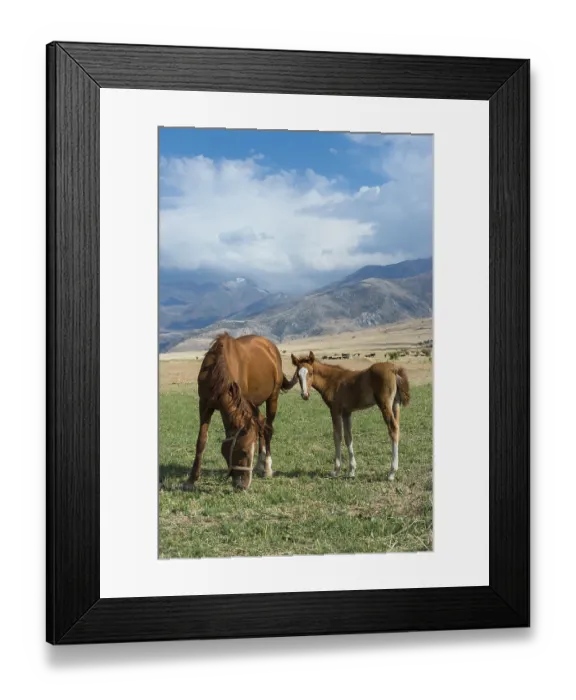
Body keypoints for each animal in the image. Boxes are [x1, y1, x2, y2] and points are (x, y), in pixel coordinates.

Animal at [182, 333, 297, 491]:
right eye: (243, 451)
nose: (243, 485)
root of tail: (270, 346)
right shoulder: (205, 405)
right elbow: (201, 440)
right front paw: (191, 479)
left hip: (272, 398)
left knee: (268, 428)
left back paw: (267, 467)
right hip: (255, 404)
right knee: (261, 426)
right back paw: (260, 464)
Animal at [291, 352, 411, 481]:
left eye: (311, 372)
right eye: (298, 375)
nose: (305, 395)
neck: (331, 380)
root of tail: (394, 369)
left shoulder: (335, 410)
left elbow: (337, 437)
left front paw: (335, 470)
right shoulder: (346, 413)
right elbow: (348, 437)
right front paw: (352, 470)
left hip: (385, 404)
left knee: (393, 429)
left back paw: (391, 472)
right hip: (396, 404)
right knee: (397, 428)